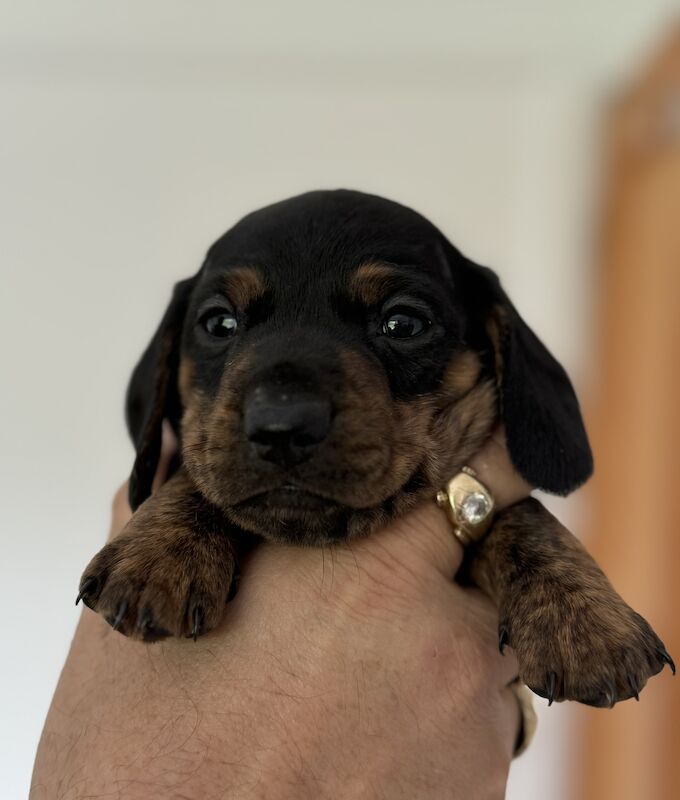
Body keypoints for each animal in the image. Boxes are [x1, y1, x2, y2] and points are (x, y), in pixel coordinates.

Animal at [77, 189, 672, 708]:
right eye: (219, 322)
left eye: (402, 322)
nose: (281, 426)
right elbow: (197, 473)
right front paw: (161, 549)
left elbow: (524, 517)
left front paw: (582, 617)